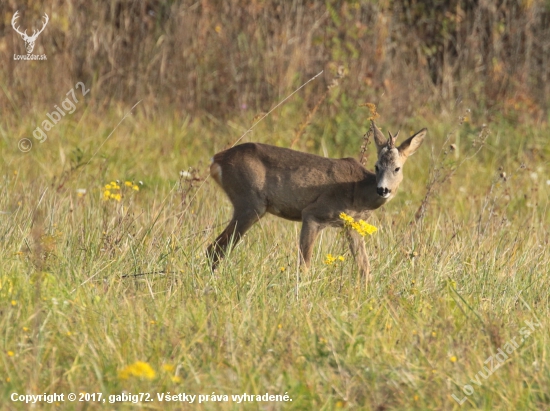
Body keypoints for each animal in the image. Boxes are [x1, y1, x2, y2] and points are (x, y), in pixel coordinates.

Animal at [207, 121, 426, 276]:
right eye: (377, 166)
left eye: (397, 168)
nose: (383, 189)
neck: (358, 190)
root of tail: (216, 159)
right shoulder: (313, 213)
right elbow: (304, 264)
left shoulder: (352, 225)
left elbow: (364, 267)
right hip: (250, 203)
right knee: (216, 248)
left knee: (216, 248)